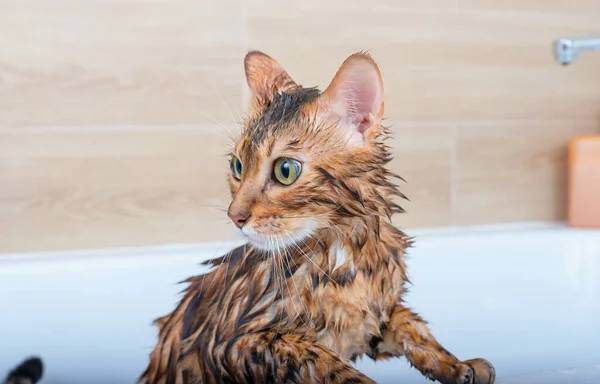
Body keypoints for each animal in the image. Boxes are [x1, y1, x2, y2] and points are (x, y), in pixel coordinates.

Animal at [138, 51, 494, 384]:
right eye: (237, 167)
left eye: (285, 170)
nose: (235, 215)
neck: (340, 254)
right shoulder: (236, 342)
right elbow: (325, 361)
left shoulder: (370, 322)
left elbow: (410, 326)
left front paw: (457, 365)